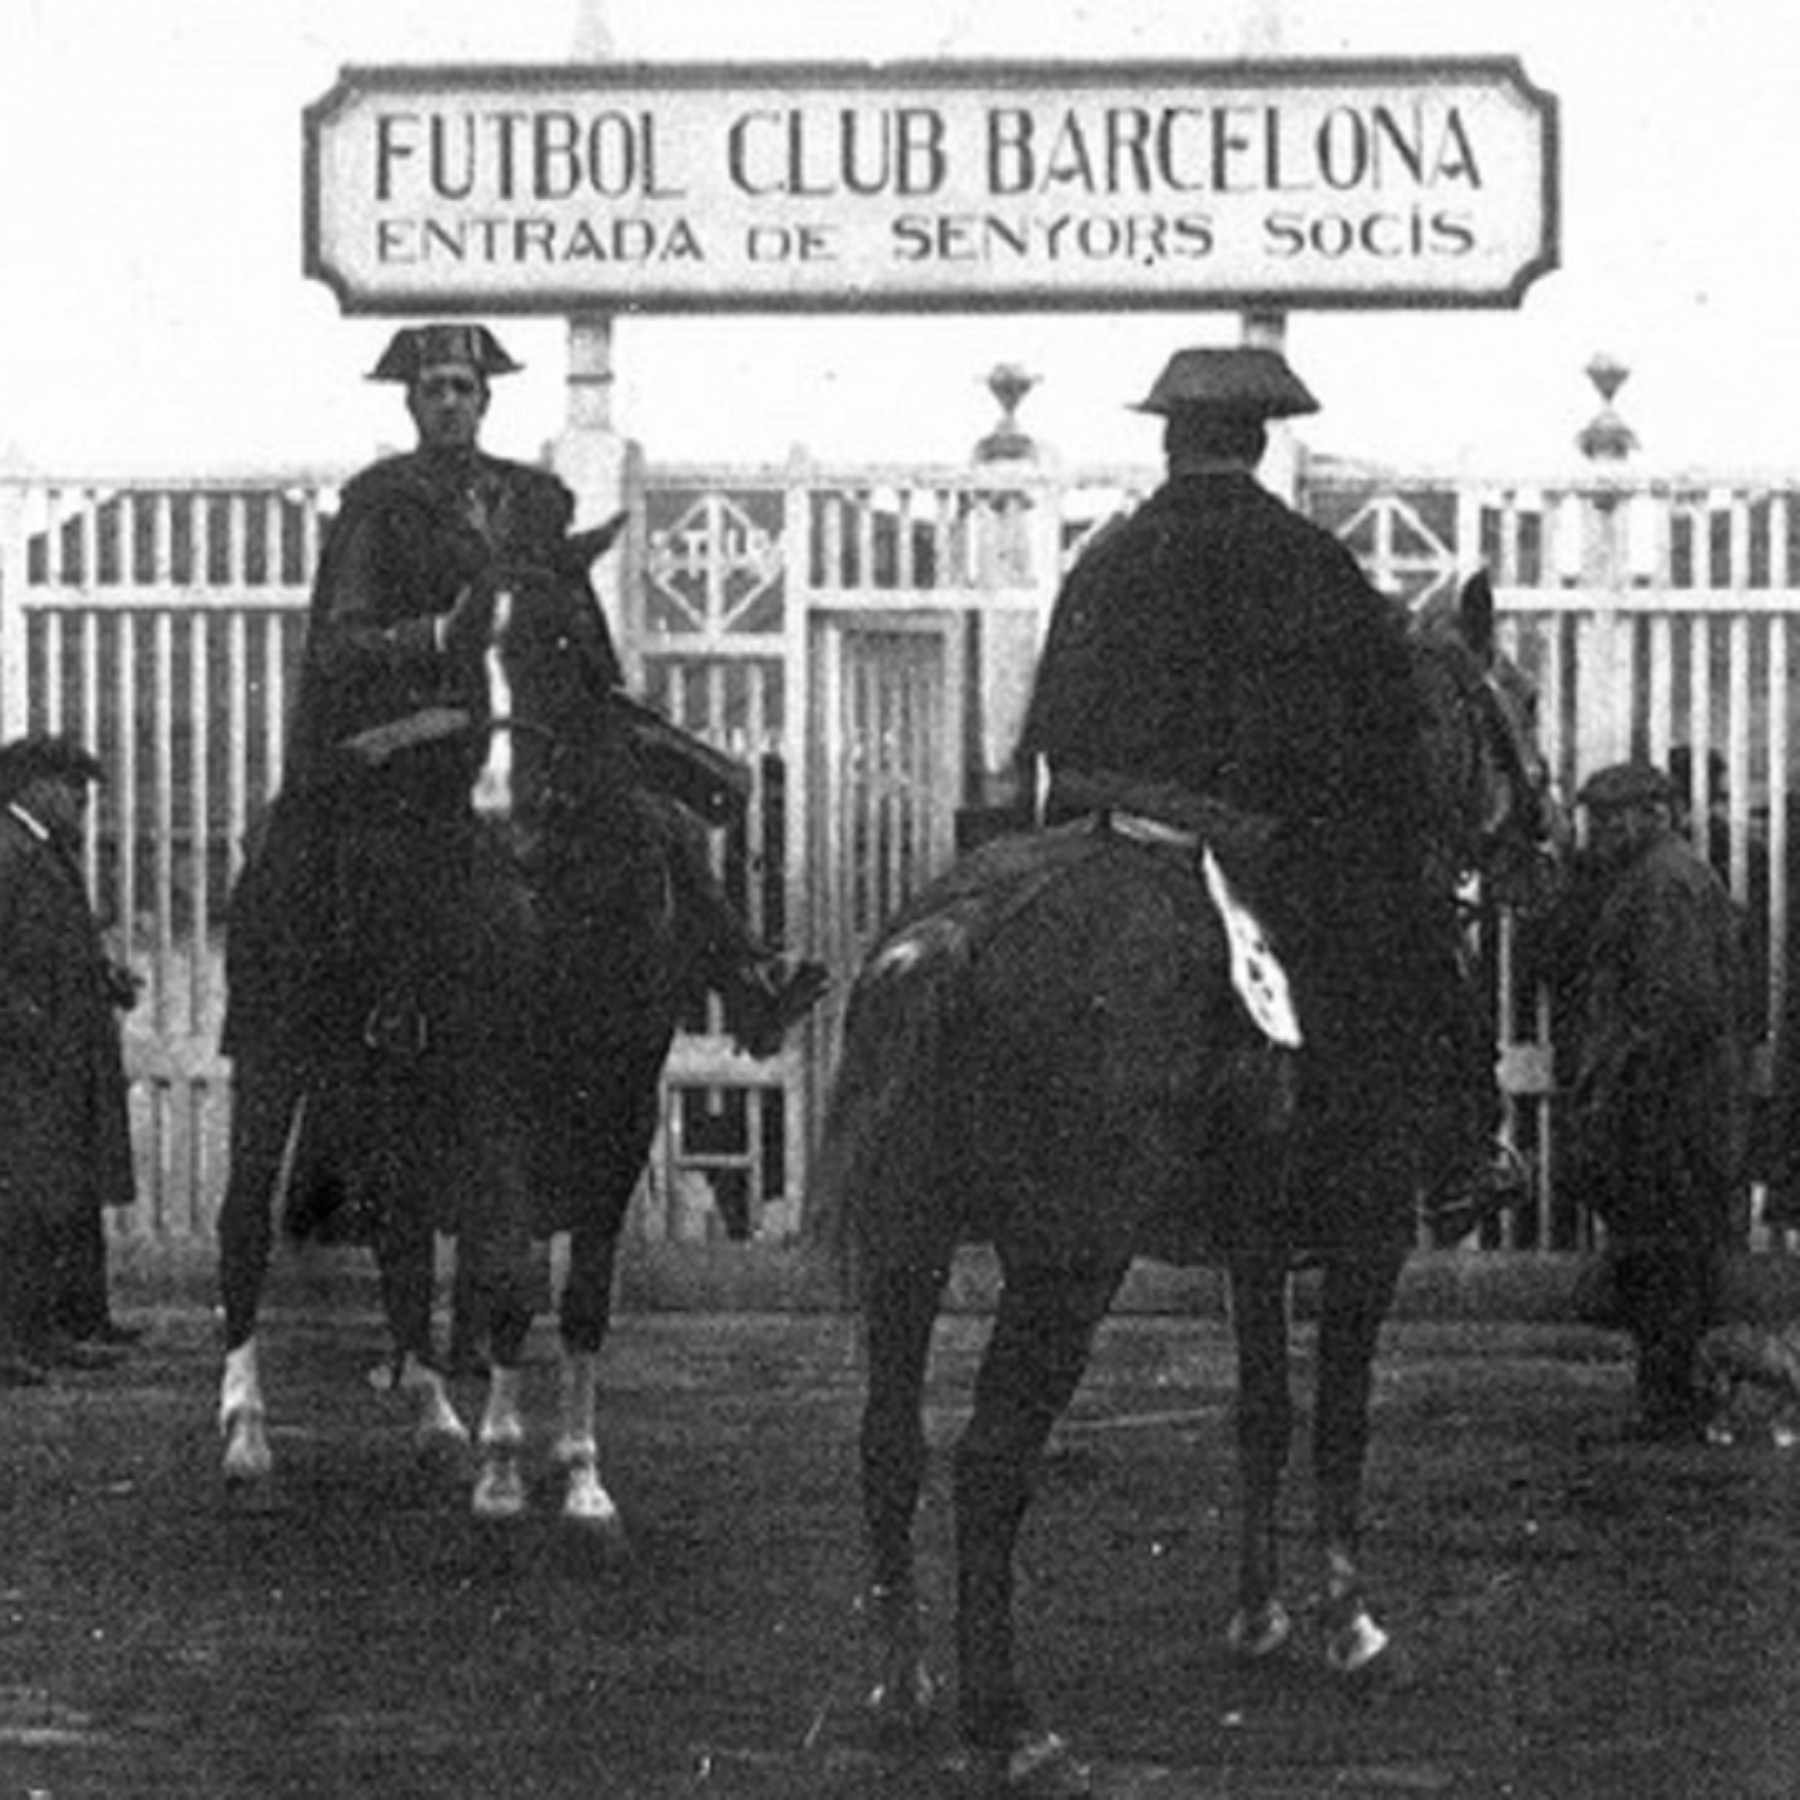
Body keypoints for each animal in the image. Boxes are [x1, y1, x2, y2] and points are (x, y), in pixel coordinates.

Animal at [212, 532, 687, 1533]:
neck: (562, 894)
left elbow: (584, 1294)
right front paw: (505, 1474)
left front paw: (582, 1477)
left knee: (397, 1232)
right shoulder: (496, 1092)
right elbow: (505, 1268)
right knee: (244, 1222)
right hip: (274, 1052)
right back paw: (246, 1435)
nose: (502, 802)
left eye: (563, 639)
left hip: (391, 1086)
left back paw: (436, 1420)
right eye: (464, 655)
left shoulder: (622, 1108)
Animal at [817, 572, 1562, 1785]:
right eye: (1520, 695)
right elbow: (1339, 1420)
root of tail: (950, 939)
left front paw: (1258, 1619)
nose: (1545, 847)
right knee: (990, 1460)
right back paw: (1007, 1720)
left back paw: (903, 1688)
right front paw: (1353, 1630)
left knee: (890, 1444)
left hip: (908, 1245)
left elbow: (1262, 1412)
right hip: (1066, 1268)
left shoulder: (1252, 1253)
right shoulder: (1367, 1241)